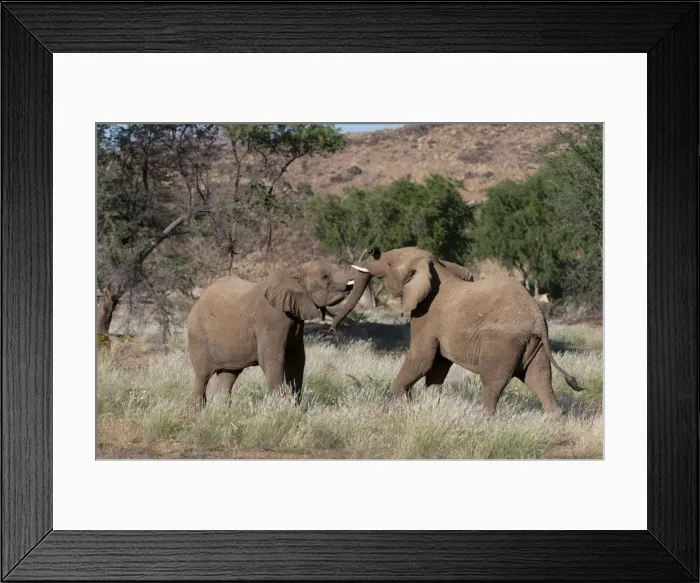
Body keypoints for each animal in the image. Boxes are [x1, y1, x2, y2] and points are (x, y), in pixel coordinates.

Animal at [186, 260, 371, 409]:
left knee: (228, 375)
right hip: (198, 335)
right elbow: (273, 358)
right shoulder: (271, 320)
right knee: (202, 376)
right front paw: (278, 410)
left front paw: (296, 409)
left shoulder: (296, 320)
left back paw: (223, 412)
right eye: (325, 277)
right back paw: (196, 413)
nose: (332, 329)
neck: (294, 272)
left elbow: (297, 359)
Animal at [330, 246, 582, 415]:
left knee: (494, 381)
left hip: (504, 342)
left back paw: (485, 418)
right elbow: (438, 364)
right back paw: (555, 420)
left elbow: (422, 358)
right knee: (540, 379)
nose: (334, 330)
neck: (436, 267)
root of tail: (538, 319)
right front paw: (430, 404)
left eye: (390, 264)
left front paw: (402, 402)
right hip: (534, 343)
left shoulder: (426, 315)